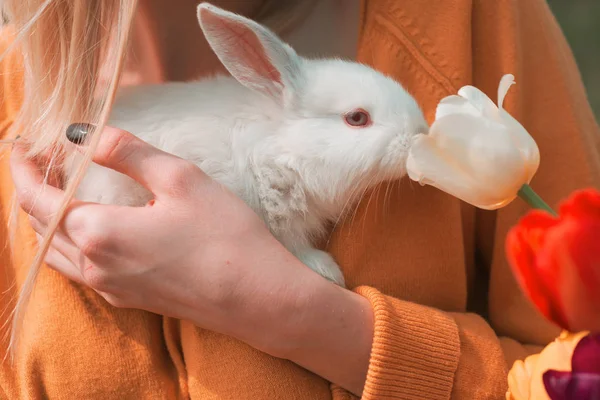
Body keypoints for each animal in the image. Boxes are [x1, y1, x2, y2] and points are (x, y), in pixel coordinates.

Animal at [69, 1, 426, 286]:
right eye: (357, 118)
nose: (419, 134)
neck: (284, 148)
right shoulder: (281, 218)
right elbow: (294, 245)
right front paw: (328, 271)